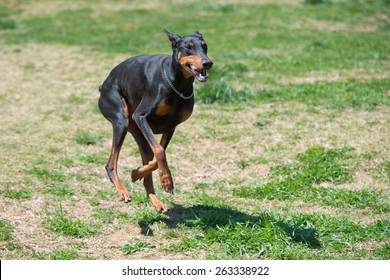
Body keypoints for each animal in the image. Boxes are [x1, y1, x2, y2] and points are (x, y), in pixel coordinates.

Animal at [97, 29, 213, 214]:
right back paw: (122, 191)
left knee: (147, 167)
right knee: (110, 164)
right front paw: (166, 180)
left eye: (205, 46)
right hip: (121, 120)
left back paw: (157, 202)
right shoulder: (140, 117)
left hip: (138, 133)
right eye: (188, 47)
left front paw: (137, 173)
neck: (177, 84)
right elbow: (159, 151)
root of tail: (103, 84)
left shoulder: (171, 126)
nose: (208, 63)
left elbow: (158, 156)